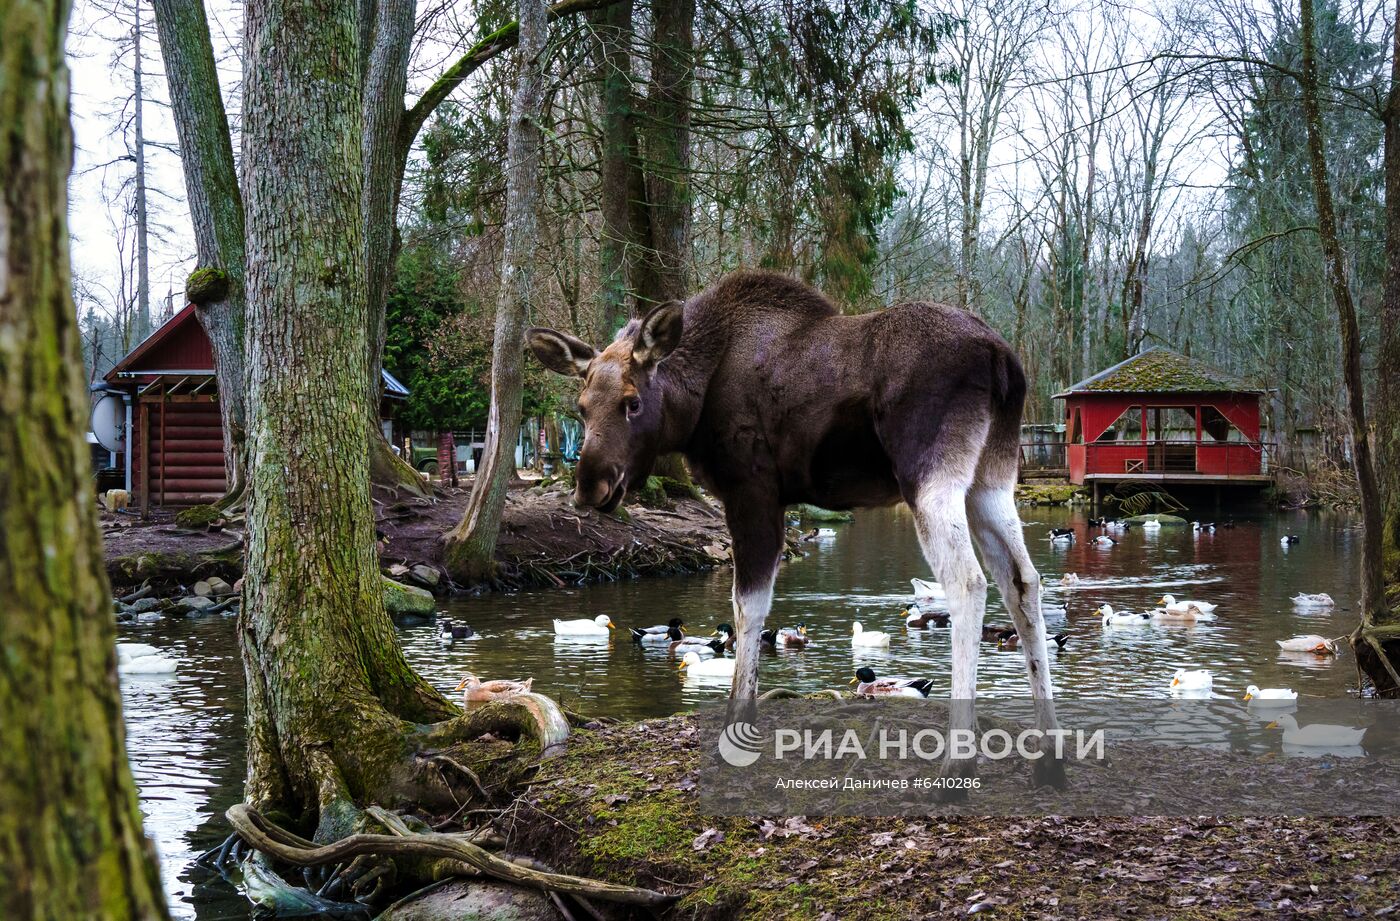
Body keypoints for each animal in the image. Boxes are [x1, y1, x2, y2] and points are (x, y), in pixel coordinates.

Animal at [529, 270, 1064, 783]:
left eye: (633, 402)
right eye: (581, 407)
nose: (591, 486)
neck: (693, 405)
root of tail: (1003, 359)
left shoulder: (752, 491)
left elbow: (748, 607)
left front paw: (737, 723)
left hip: (931, 478)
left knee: (968, 583)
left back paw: (959, 760)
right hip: (991, 480)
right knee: (1023, 581)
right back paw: (1048, 757)